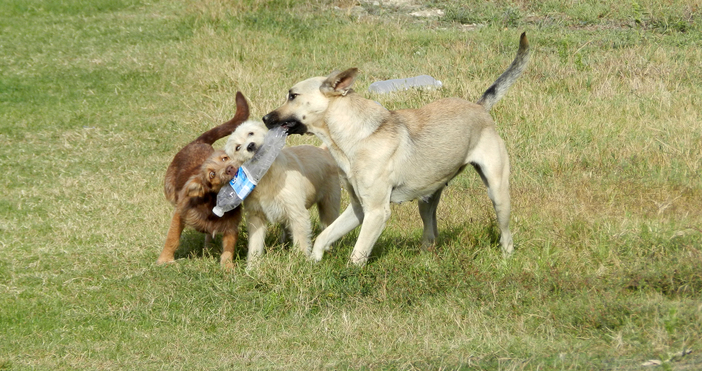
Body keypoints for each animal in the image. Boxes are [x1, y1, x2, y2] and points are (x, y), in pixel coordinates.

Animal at [159, 91, 250, 268]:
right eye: (212, 174)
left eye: (224, 158)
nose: (230, 168)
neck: (213, 204)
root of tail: (199, 141)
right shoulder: (180, 213)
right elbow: (172, 238)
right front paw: (164, 260)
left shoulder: (231, 226)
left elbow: (228, 249)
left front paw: (227, 267)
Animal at [224, 120, 342, 268]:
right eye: (237, 148)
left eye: (250, 133)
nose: (250, 146)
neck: (266, 175)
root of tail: (322, 150)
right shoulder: (256, 216)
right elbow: (255, 244)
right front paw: (252, 267)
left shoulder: (297, 213)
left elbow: (300, 241)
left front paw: (299, 262)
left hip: (329, 205)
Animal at [264, 31, 532, 264]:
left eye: (293, 96)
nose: (266, 119)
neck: (357, 135)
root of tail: (480, 108)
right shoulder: (359, 208)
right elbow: (323, 236)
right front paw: (313, 262)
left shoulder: (376, 211)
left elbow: (357, 254)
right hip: (427, 200)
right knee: (431, 233)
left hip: (497, 192)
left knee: (506, 234)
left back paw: (506, 257)